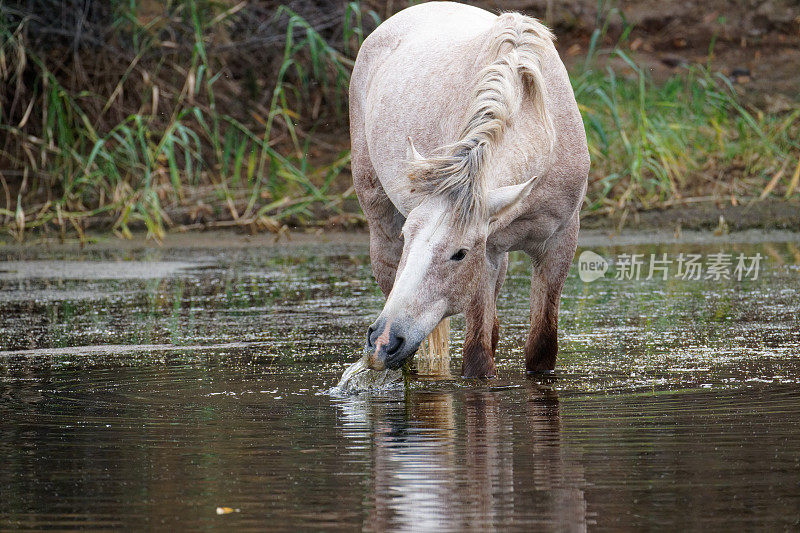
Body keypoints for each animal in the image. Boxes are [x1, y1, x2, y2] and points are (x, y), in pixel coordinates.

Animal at [350, 2, 588, 376]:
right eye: (407, 237)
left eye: (459, 253)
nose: (384, 341)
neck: (543, 127)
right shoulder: (486, 253)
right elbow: (478, 358)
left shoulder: (559, 243)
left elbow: (540, 350)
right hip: (381, 231)